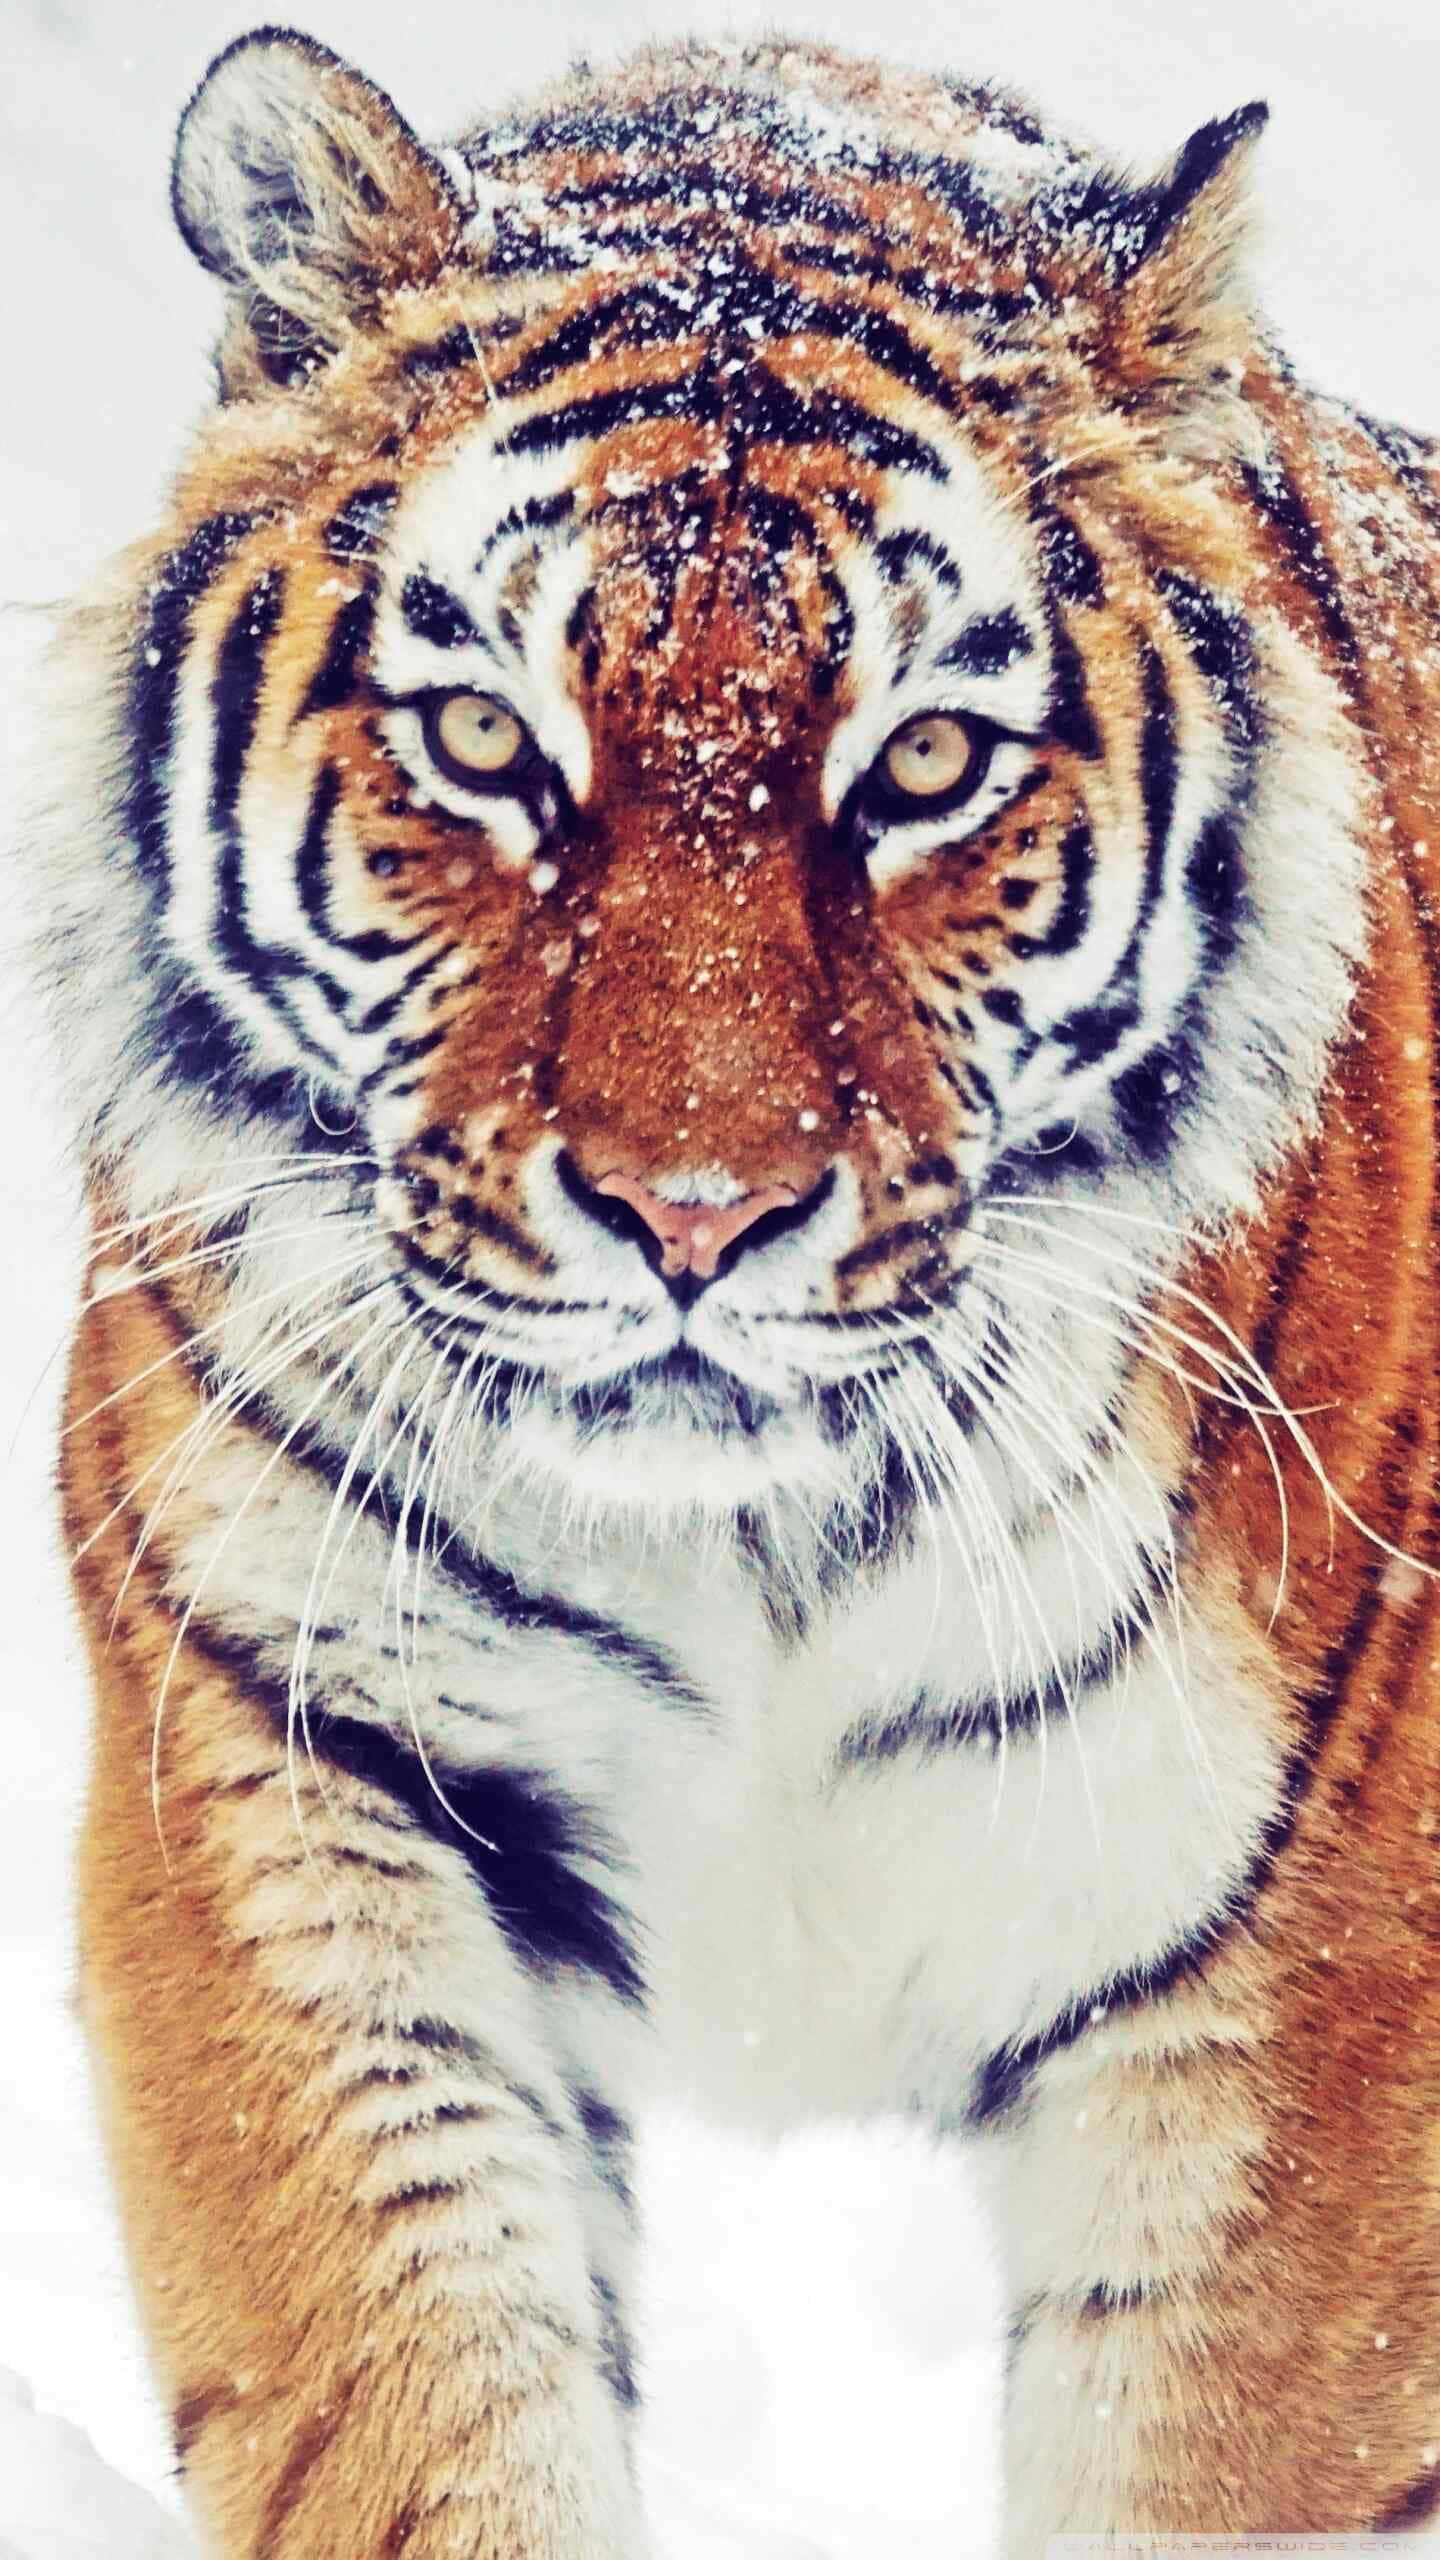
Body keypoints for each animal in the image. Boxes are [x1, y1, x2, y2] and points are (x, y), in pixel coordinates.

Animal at [29, 16, 1440, 2555]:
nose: (692, 1215)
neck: (758, 1557)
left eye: (926, 762)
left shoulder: (1311, 1975)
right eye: (484, 737)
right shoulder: (295, 1767)